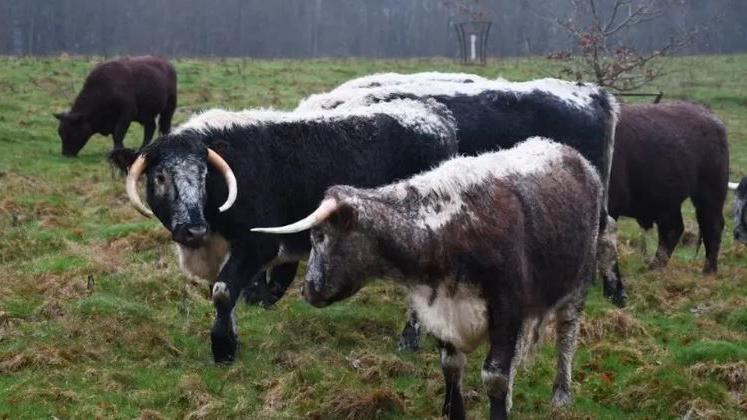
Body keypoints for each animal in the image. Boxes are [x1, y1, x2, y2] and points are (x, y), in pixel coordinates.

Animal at [608, 100, 732, 274]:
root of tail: (711, 118)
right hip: (666, 200)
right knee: (673, 229)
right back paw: (655, 267)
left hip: (710, 194)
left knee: (712, 226)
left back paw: (708, 271)